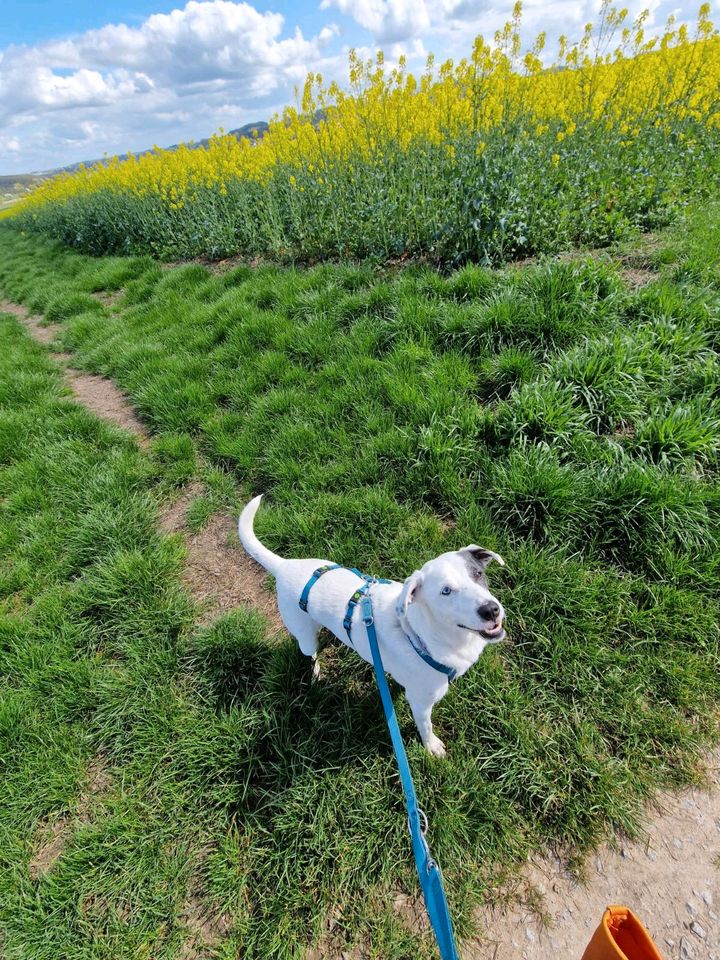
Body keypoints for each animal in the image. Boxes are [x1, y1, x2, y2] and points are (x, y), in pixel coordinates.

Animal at [238, 496, 506, 756]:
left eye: (478, 574)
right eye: (446, 591)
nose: (491, 610)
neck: (419, 635)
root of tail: (284, 566)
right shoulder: (420, 702)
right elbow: (426, 728)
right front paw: (432, 747)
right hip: (303, 635)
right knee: (310, 652)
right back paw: (316, 672)